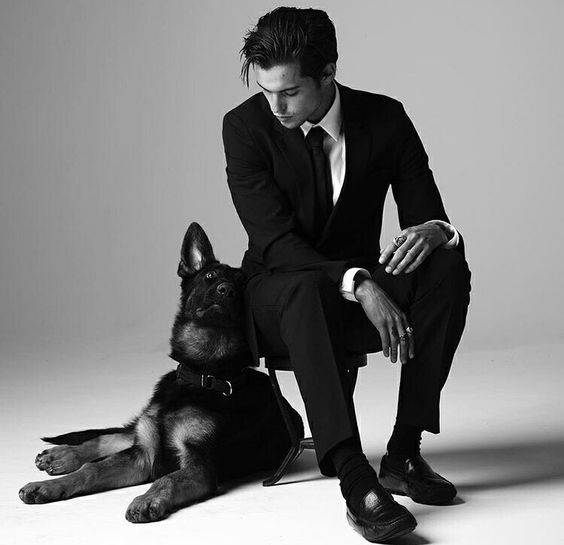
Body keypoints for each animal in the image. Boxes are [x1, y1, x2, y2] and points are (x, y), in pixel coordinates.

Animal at [18, 222, 304, 524]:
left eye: (242, 283)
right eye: (210, 276)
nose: (226, 290)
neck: (202, 374)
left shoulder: (198, 467)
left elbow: (166, 479)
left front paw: (147, 499)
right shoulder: (143, 455)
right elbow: (92, 469)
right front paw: (49, 486)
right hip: (140, 431)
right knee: (108, 437)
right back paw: (62, 456)